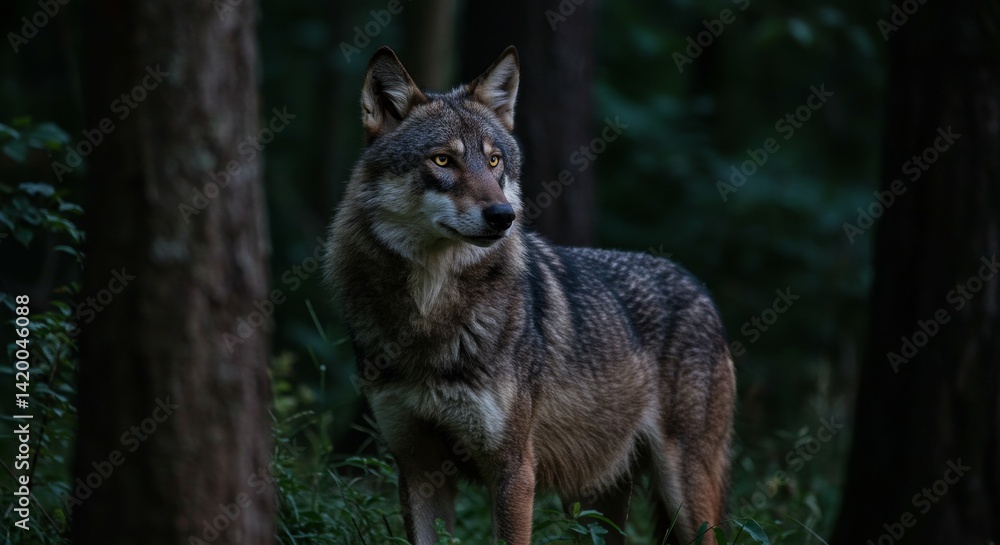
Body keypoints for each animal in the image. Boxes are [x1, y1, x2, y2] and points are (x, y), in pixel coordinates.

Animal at [325, 45, 736, 545]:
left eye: (495, 161)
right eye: (442, 161)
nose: (502, 215)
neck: (431, 312)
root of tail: (700, 290)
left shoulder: (514, 469)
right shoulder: (417, 467)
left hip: (684, 496)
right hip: (595, 505)